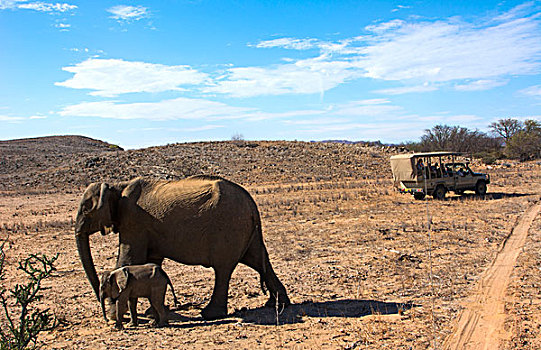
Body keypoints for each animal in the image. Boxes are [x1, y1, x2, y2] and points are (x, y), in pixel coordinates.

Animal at [75, 175, 292, 320]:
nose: (104, 307)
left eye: (86, 209)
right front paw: (151, 313)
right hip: (245, 230)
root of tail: (253, 206)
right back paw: (277, 304)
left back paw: (210, 314)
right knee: (257, 260)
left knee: (223, 269)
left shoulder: (133, 221)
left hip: (230, 227)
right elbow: (152, 261)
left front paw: (117, 316)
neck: (118, 186)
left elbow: (128, 259)